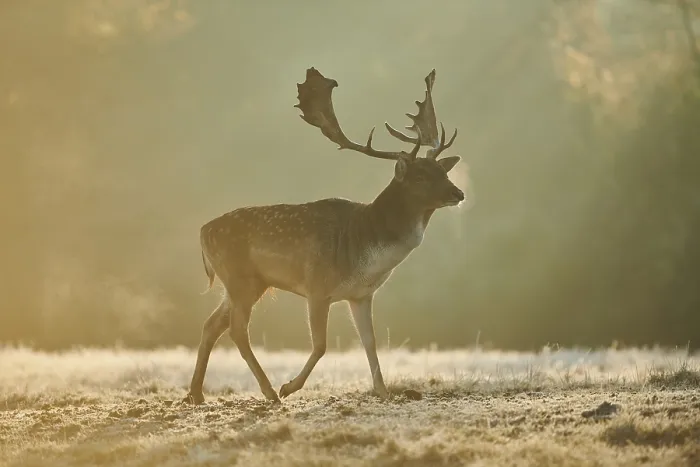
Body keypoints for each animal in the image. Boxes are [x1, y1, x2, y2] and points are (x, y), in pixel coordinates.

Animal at [184, 67, 464, 405]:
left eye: (443, 171)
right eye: (420, 176)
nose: (458, 193)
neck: (364, 247)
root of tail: (202, 231)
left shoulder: (361, 295)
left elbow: (370, 342)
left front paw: (383, 392)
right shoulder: (316, 286)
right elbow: (320, 345)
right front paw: (289, 386)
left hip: (247, 283)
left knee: (212, 325)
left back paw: (196, 394)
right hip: (239, 278)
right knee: (237, 330)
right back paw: (269, 391)